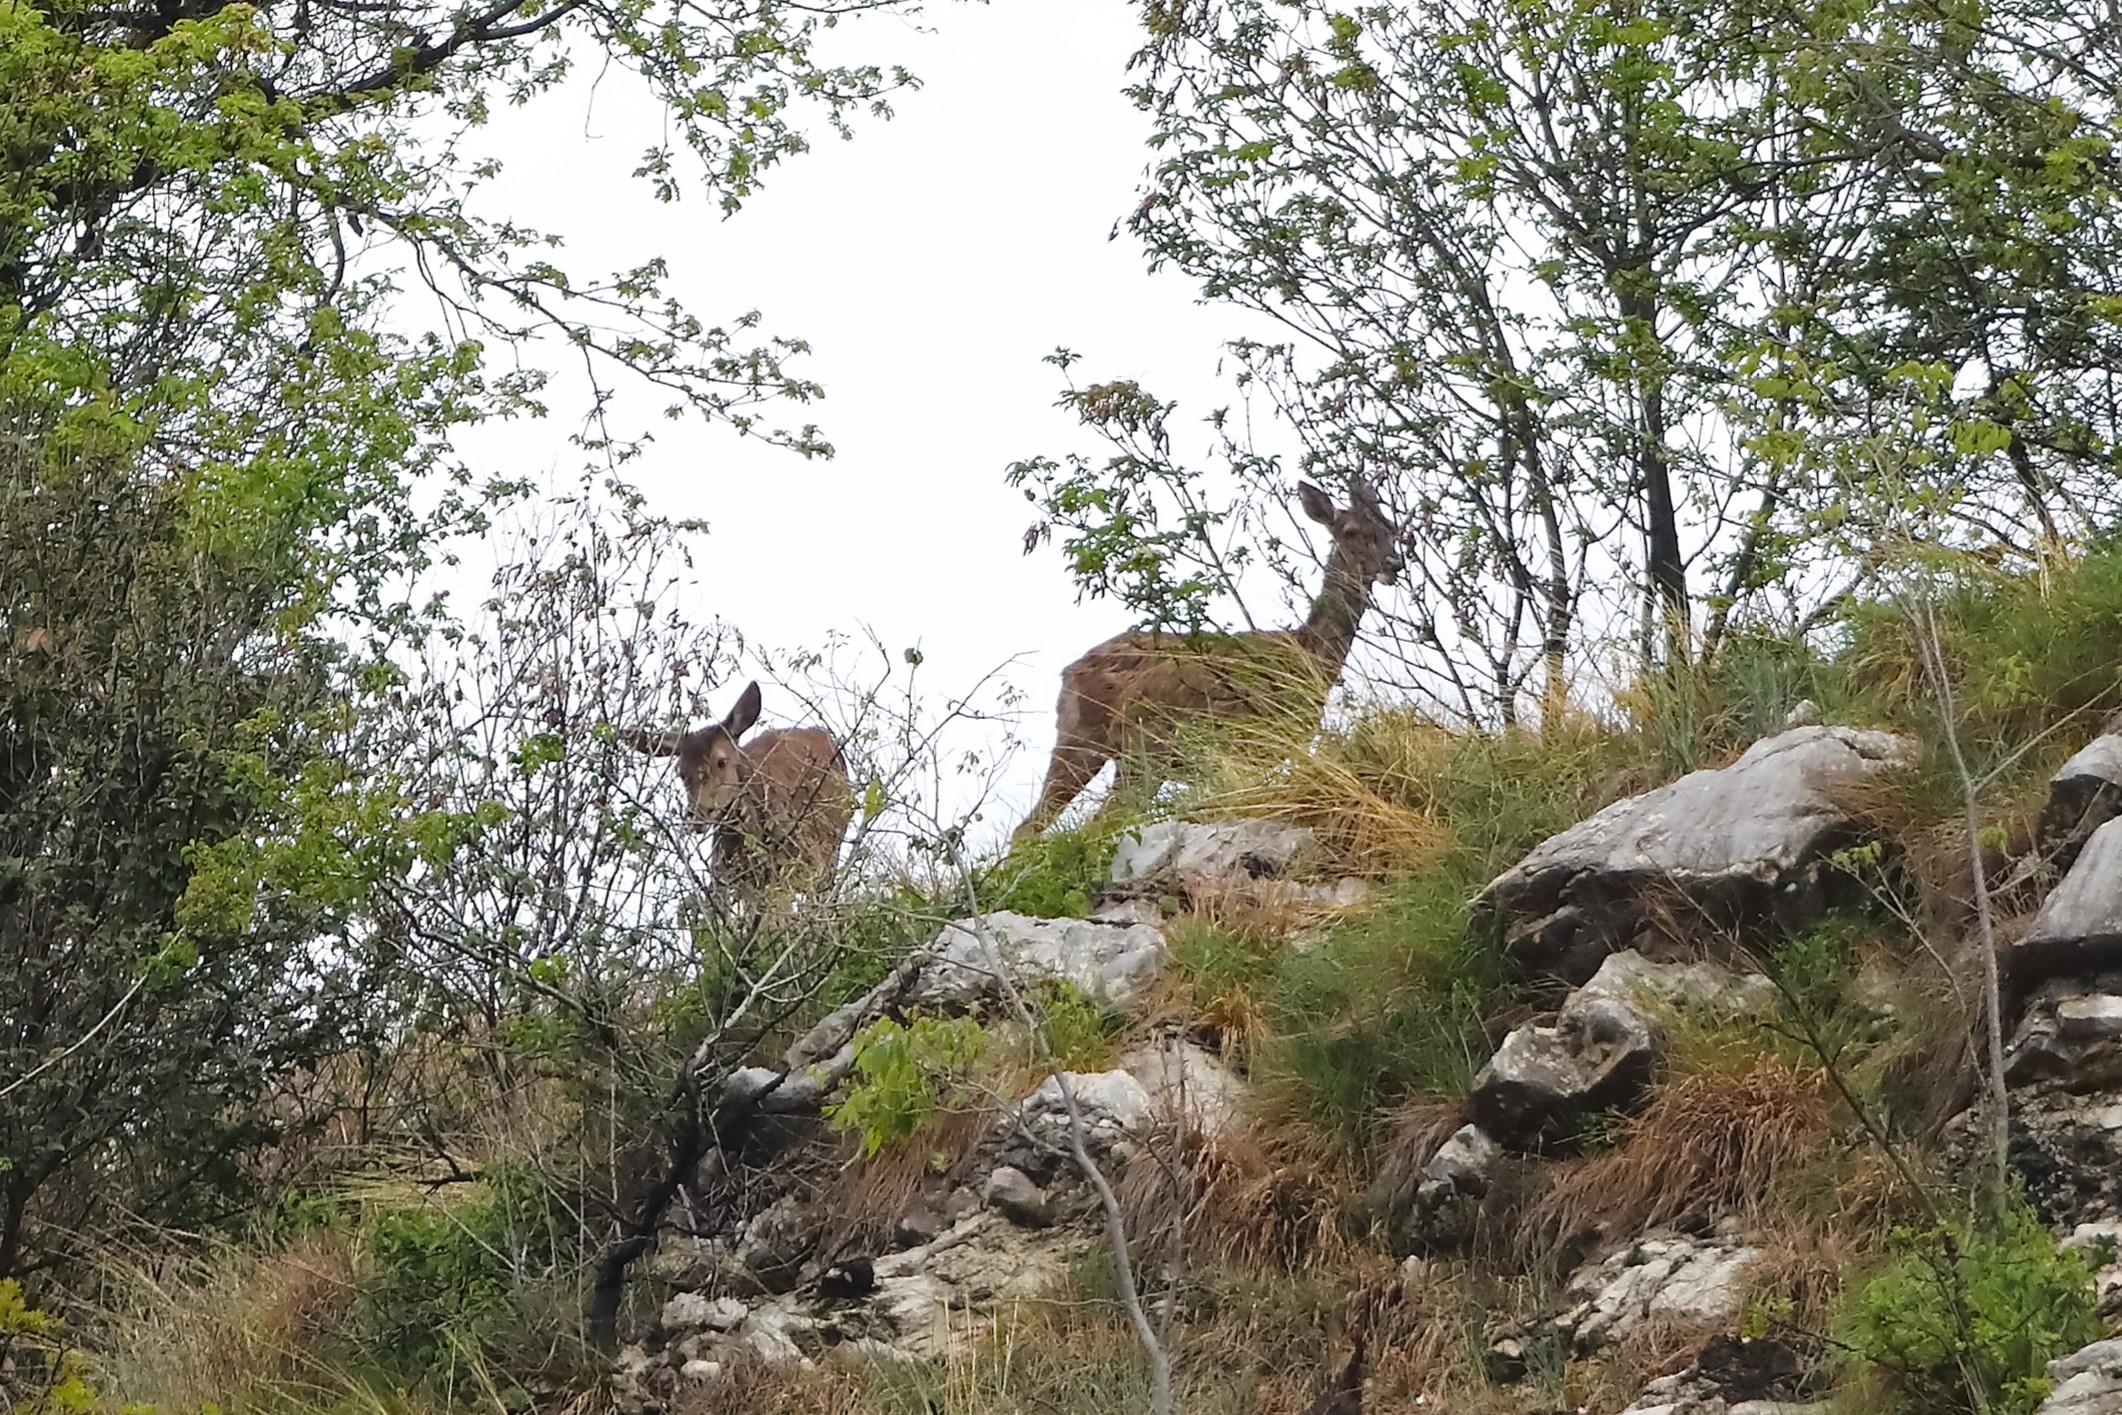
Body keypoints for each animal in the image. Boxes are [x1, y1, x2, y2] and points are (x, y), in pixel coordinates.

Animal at [1012, 478, 1406, 844]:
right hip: (1131, 746)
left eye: (1391, 527)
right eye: (1350, 531)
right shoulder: (1245, 745)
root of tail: (1068, 672)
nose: (1395, 564)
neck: (1307, 656)